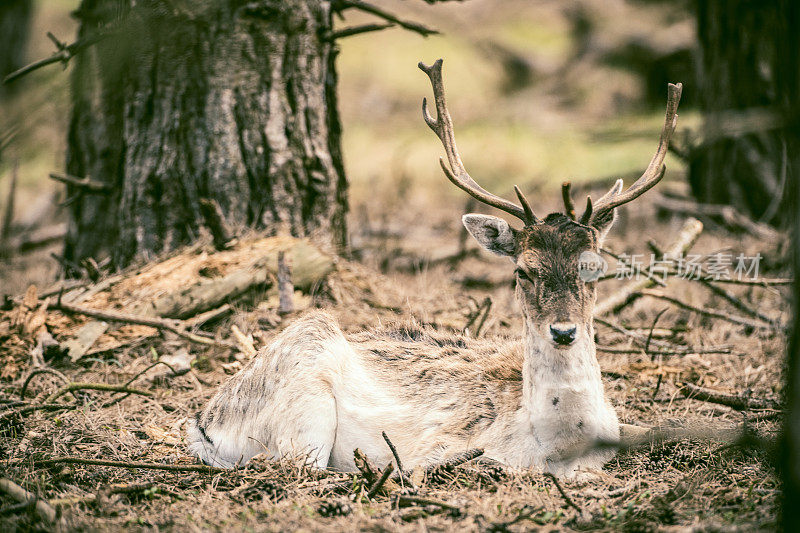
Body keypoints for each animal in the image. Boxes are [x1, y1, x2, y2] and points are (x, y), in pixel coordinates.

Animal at [188, 58, 680, 478]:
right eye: (522, 271)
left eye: (593, 267)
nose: (562, 331)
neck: (561, 448)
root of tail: (204, 422)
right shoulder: (441, 446)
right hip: (305, 396)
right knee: (297, 466)